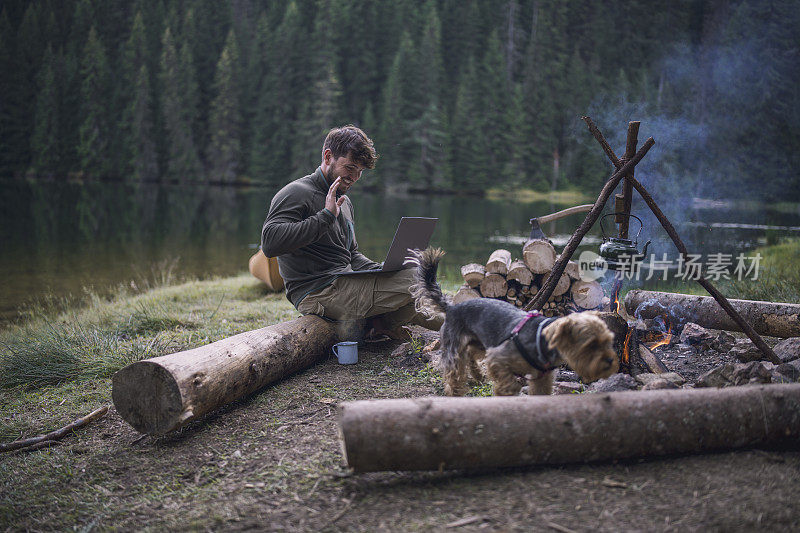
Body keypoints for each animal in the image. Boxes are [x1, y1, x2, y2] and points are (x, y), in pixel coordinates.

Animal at [406, 247, 620, 392]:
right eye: (590, 345)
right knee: (454, 373)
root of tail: (452, 307)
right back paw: (457, 391)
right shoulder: (498, 360)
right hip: (455, 345)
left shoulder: (542, 378)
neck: (541, 337)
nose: (611, 361)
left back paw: (477, 376)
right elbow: (506, 382)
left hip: (481, 341)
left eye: (609, 341)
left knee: (471, 354)